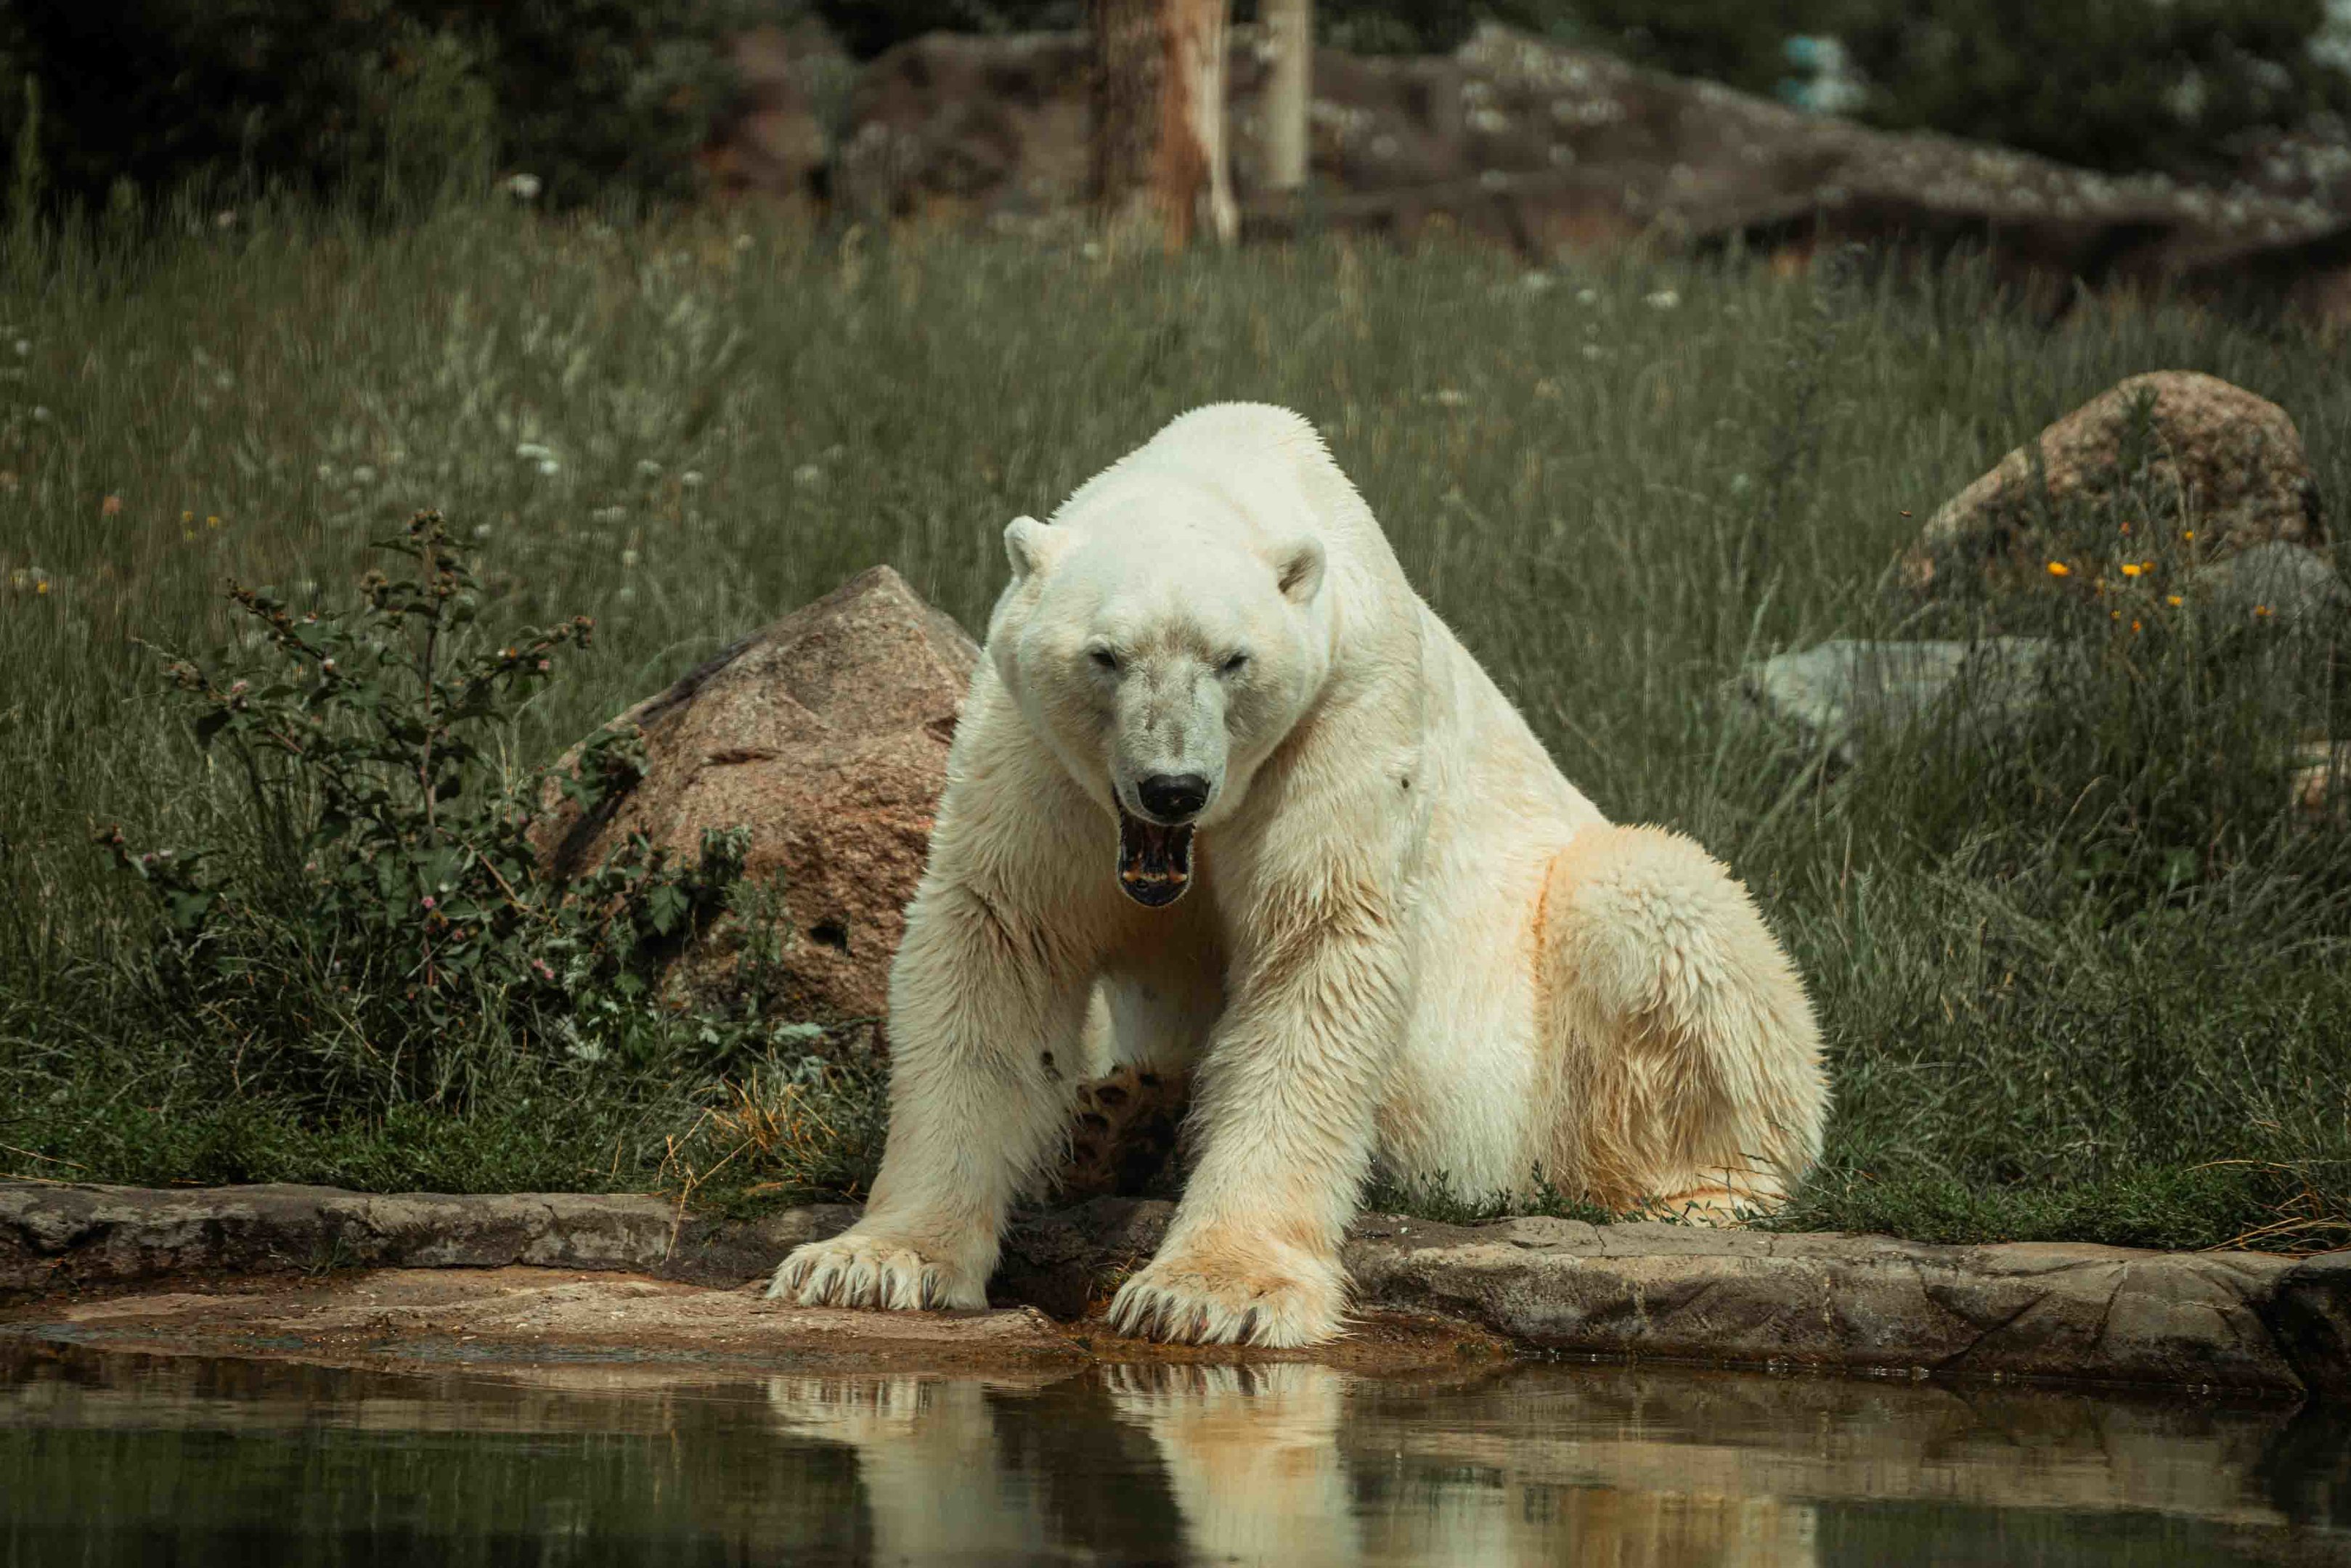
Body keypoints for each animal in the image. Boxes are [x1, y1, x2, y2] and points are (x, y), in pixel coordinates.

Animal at [771, 403, 1828, 1347]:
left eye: (1232, 660)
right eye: (1104, 655)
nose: (1172, 788)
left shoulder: (1341, 716)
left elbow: (1319, 948)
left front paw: (1211, 1294)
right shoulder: (1037, 757)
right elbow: (998, 942)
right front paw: (870, 1262)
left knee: (1653, 894)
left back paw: (1698, 1192)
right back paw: (1115, 1120)